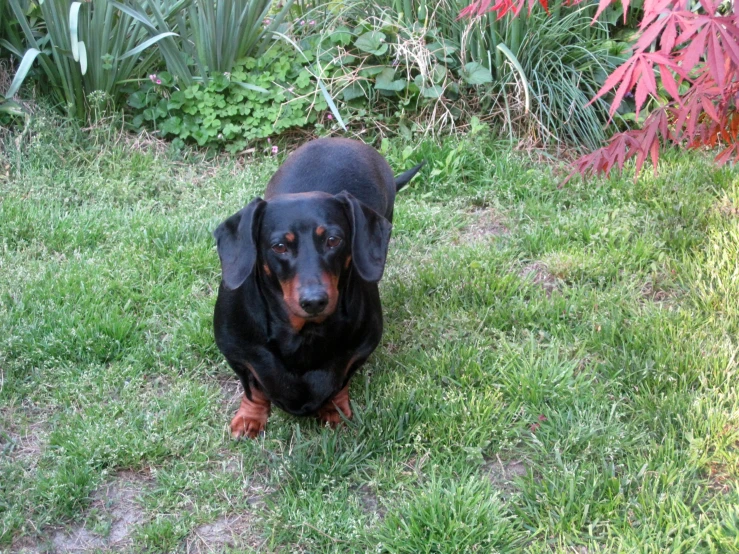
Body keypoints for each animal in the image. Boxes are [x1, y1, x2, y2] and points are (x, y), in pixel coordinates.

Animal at [214, 137, 422, 436]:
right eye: (279, 246)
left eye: (333, 240)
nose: (314, 301)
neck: (303, 333)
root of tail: (342, 140)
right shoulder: (238, 354)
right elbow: (254, 388)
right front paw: (250, 418)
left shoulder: (359, 349)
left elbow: (341, 381)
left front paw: (334, 411)